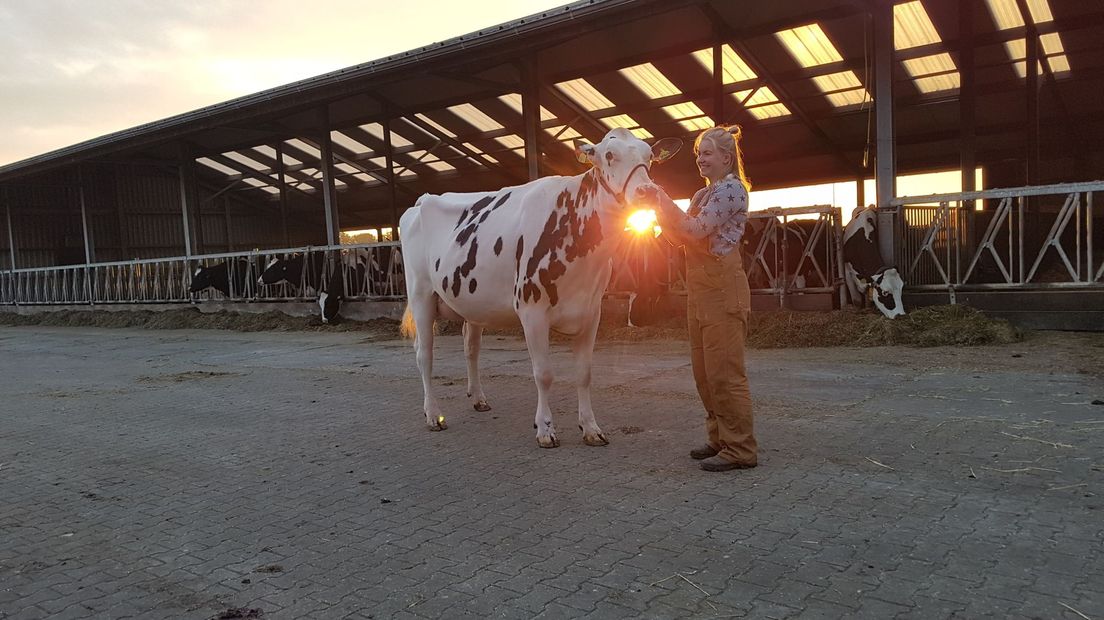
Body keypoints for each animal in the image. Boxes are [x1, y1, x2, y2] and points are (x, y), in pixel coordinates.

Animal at [399, 128, 681, 447]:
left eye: (650, 156)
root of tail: (423, 199)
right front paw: (545, 428)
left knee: (471, 348)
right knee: (424, 355)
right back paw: (433, 415)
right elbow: (544, 374)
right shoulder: (531, 310)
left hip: (473, 303)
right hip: (421, 295)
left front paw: (591, 427)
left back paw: (479, 399)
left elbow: (584, 373)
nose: (647, 192)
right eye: (609, 154)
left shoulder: (591, 312)